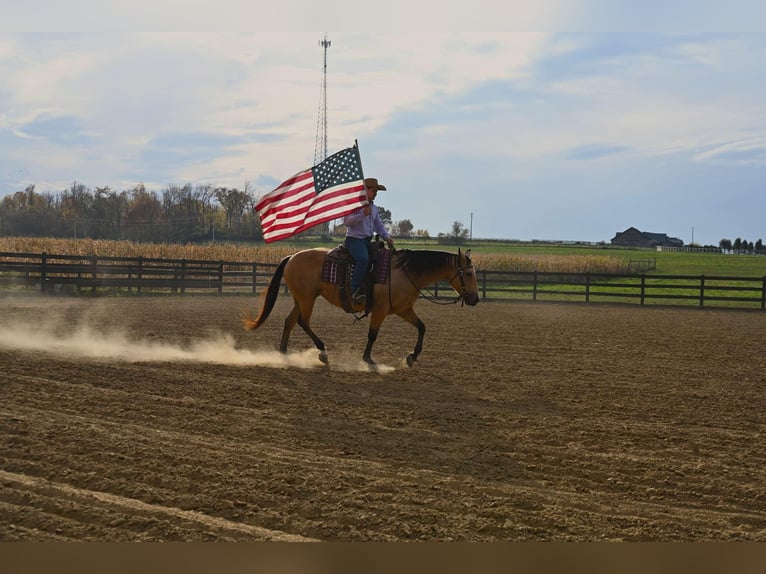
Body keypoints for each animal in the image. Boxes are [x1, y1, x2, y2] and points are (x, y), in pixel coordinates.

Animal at [244, 249, 480, 368]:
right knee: (303, 321)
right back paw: (322, 352)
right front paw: (368, 359)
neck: (404, 272)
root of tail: (292, 256)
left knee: (290, 321)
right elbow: (373, 334)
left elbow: (422, 327)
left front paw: (412, 356)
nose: (476, 299)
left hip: (301, 298)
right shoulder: (381, 310)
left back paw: (283, 353)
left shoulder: (404, 309)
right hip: (307, 298)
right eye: (468, 273)